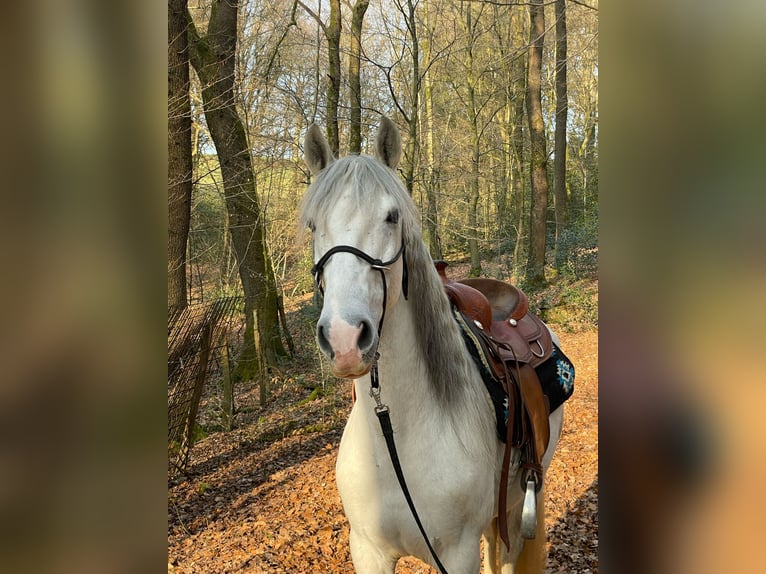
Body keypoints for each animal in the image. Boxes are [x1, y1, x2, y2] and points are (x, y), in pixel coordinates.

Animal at [300, 116, 564, 573]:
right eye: (314, 224)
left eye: (391, 217)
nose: (345, 337)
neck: (395, 441)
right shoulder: (367, 551)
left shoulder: (457, 554)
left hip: (518, 504)